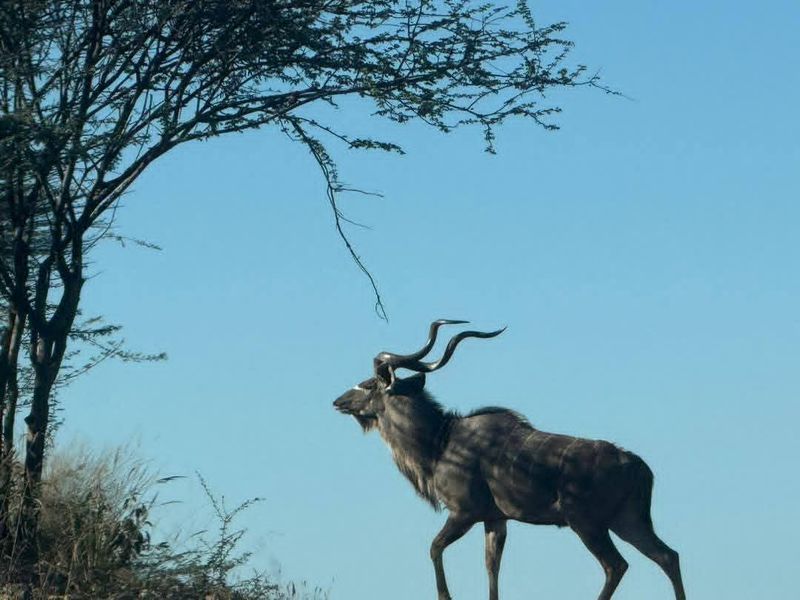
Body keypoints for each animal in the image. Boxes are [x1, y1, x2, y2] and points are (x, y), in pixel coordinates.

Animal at [333, 320, 686, 600]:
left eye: (369, 385)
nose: (338, 401)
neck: (439, 443)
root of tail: (639, 468)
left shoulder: (464, 513)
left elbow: (434, 548)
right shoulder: (495, 520)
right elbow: (492, 568)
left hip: (586, 523)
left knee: (616, 565)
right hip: (627, 521)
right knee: (668, 556)